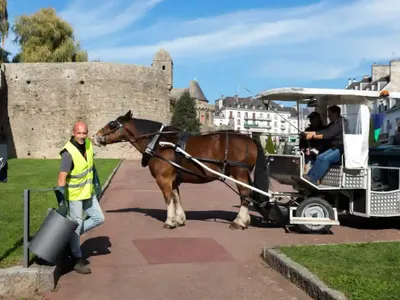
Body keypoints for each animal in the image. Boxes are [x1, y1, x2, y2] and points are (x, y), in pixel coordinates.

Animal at [92, 110, 282, 230]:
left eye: (112, 124)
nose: (95, 137)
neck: (159, 142)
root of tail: (249, 138)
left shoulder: (163, 179)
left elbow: (168, 198)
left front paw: (170, 221)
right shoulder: (174, 179)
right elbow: (177, 198)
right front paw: (180, 219)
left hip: (239, 174)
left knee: (245, 196)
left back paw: (239, 222)